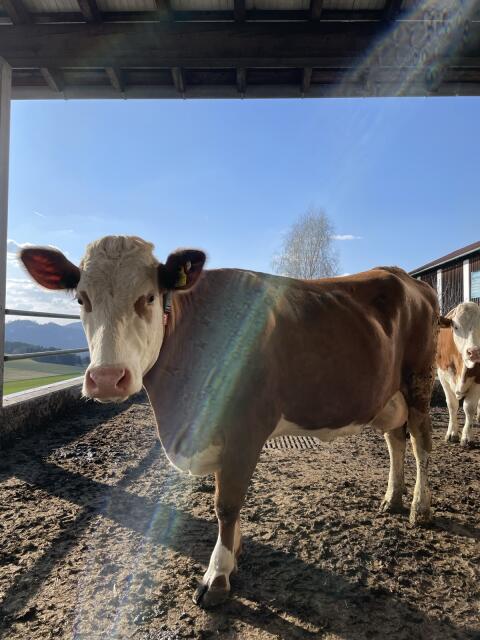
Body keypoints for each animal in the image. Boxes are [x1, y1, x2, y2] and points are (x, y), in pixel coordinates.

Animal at [20, 236, 440, 608]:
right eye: (82, 299)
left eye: (149, 297)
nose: (107, 378)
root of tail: (407, 277)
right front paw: (234, 550)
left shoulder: (244, 428)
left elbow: (226, 504)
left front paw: (217, 574)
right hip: (387, 395)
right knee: (395, 439)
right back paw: (392, 497)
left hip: (419, 379)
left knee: (421, 443)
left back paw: (419, 508)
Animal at [436, 302, 480, 446]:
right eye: (455, 326)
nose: (474, 352)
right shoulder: (442, 376)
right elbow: (452, 405)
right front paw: (452, 434)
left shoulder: (478, 380)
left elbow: (469, 407)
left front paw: (466, 437)